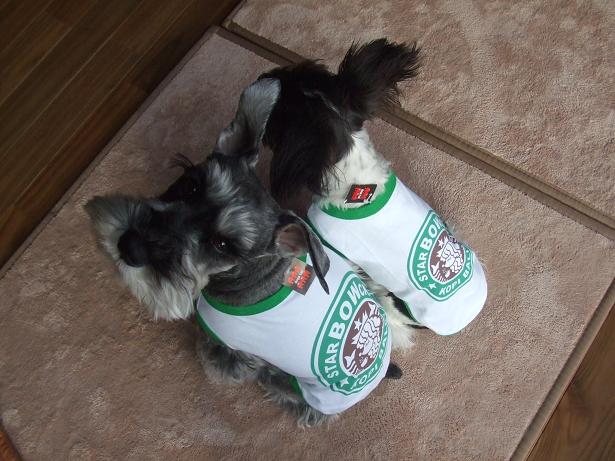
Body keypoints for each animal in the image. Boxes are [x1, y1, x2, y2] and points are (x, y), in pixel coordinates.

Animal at [86, 79, 403, 426]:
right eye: (191, 185)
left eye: (223, 245)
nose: (129, 246)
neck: (247, 277)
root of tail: (381, 371)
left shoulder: (231, 350)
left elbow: (217, 362)